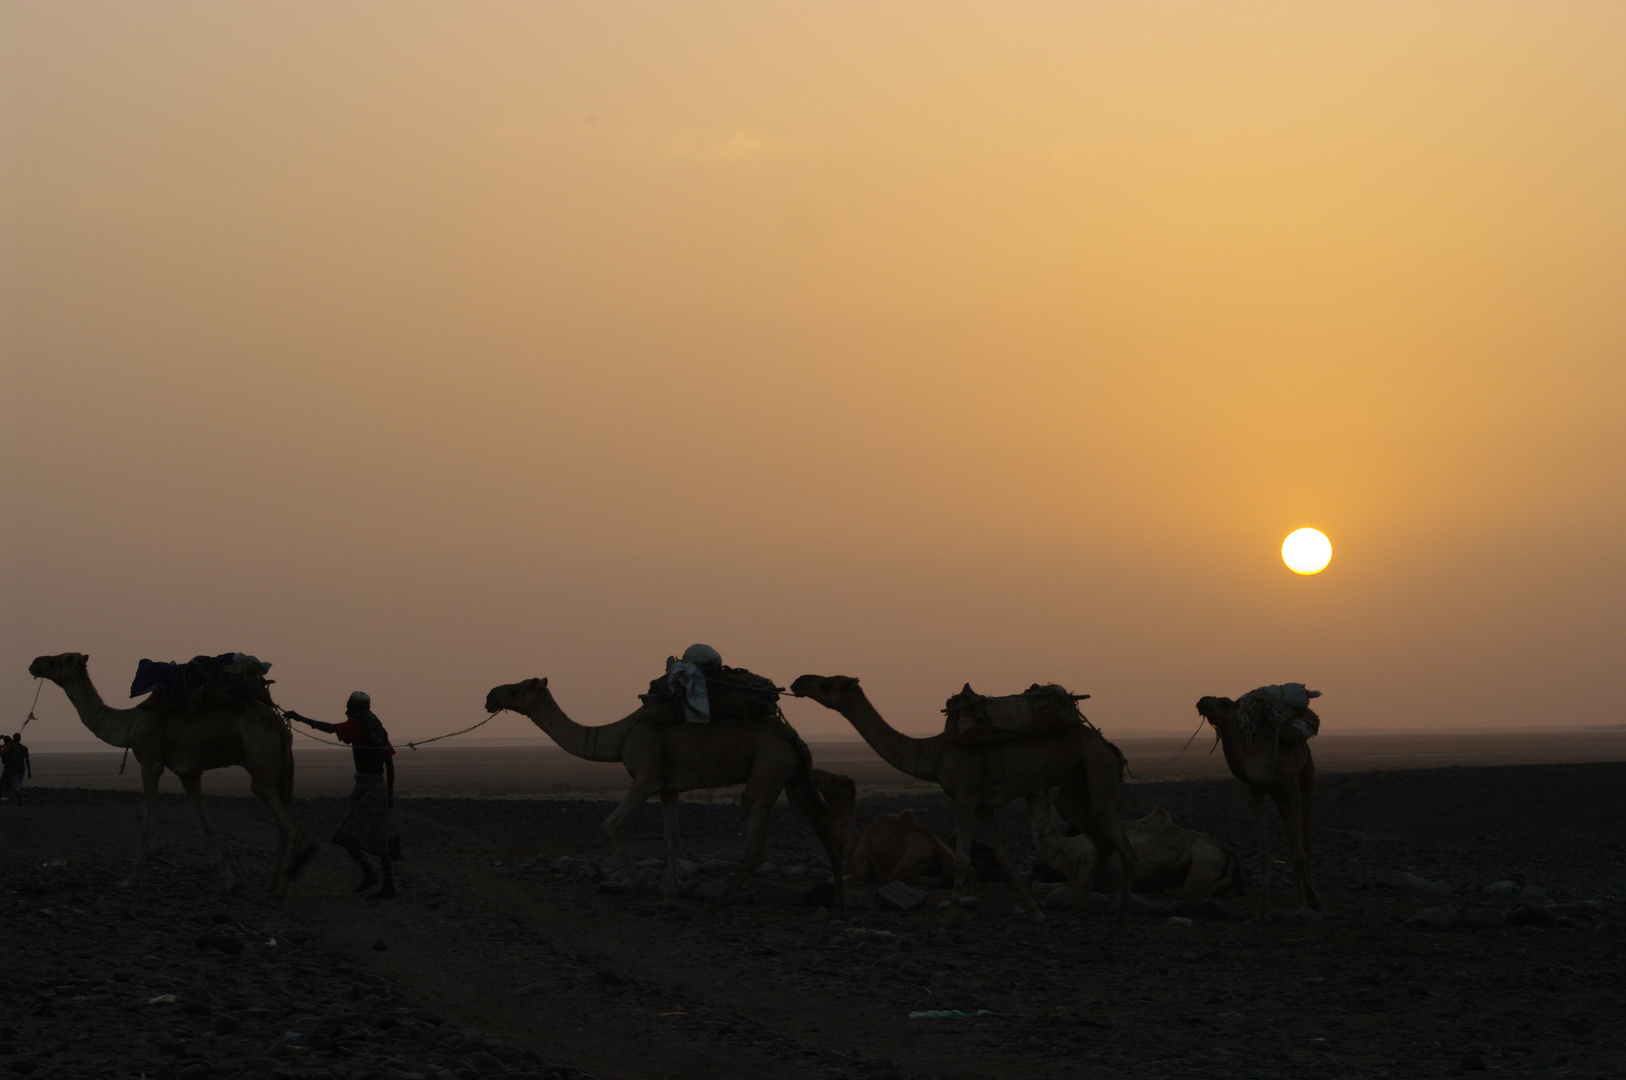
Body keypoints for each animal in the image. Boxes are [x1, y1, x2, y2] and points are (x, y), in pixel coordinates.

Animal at [26, 650, 307, 891]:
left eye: (60, 660)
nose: (34, 663)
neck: (131, 724)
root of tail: (278, 723)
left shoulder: (150, 762)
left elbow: (147, 824)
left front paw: (129, 880)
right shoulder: (189, 772)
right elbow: (205, 827)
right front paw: (231, 881)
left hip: (260, 754)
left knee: (292, 825)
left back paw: (281, 888)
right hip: (272, 766)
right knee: (282, 823)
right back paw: (271, 883)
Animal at [484, 679, 852, 917]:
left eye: (515, 689)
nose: (490, 696)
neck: (619, 735)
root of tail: (794, 737)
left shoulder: (645, 778)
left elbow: (608, 825)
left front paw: (641, 887)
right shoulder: (667, 788)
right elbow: (671, 839)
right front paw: (669, 899)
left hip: (769, 765)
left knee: (755, 832)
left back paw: (718, 903)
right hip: (794, 776)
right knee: (822, 826)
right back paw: (838, 906)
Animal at [786, 670, 1131, 923]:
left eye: (828, 684)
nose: (798, 681)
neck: (936, 753)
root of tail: (1109, 746)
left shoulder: (964, 796)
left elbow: (964, 857)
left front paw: (949, 918)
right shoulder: (982, 804)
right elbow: (1005, 856)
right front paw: (1037, 914)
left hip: (1098, 769)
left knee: (1121, 841)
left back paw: (1121, 915)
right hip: (1075, 789)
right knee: (1100, 839)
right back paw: (1076, 908)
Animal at [1196, 692, 1320, 917]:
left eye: (1225, 704)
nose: (1203, 701)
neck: (1262, 758)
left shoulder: (1292, 791)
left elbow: (1300, 854)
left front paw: (1307, 902)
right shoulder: (1256, 793)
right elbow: (1264, 854)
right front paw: (1264, 908)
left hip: (1308, 772)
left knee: (1305, 840)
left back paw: (1311, 897)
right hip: (1279, 799)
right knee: (1291, 834)